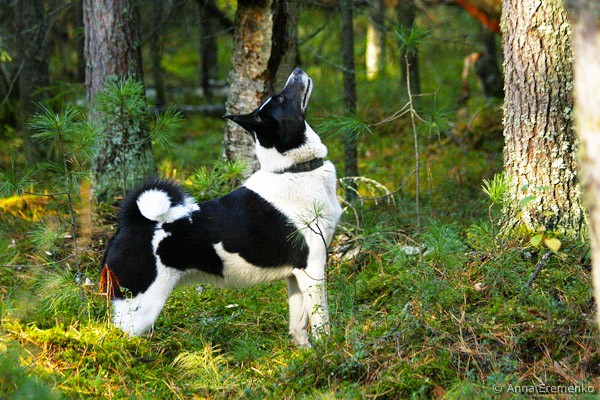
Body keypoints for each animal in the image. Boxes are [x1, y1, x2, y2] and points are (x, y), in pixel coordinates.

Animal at [101, 68, 342, 346]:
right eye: (281, 99)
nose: (297, 71)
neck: (293, 170)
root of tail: (131, 221)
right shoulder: (312, 267)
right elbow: (322, 321)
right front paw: (328, 351)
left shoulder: (295, 276)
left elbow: (299, 323)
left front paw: (305, 352)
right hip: (141, 308)